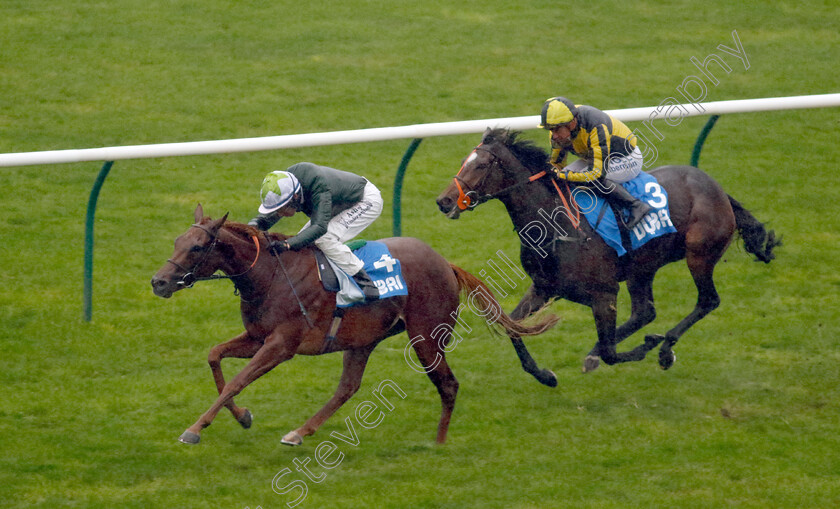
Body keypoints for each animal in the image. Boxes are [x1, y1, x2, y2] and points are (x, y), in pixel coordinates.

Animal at [151, 202, 556, 444]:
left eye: (197, 247)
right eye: (176, 240)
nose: (159, 281)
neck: (270, 274)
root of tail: (446, 263)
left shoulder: (282, 345)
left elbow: (237, 380)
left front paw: (194, 429)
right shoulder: (257, 337)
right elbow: (215, 356)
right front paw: (242, 417)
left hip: (426, 336)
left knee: (449, 384)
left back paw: (439, 443)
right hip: (364, 338)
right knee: (348, 387)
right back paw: (300, 432)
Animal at [436, 130, 776, 378]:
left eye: (480, 165)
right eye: (463, 161)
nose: (444, 200)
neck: (556, 223)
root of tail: (717, 189)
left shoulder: (604, 294)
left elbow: (613, 353)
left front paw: (644, 347)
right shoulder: (544, 288)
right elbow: (511, 324)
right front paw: (544, 375)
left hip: (699, 255)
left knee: (707, 301)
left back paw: (664, 348)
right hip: (643, 267)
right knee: (645, 312)